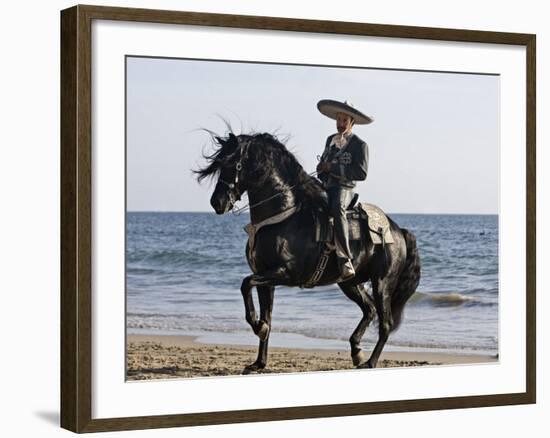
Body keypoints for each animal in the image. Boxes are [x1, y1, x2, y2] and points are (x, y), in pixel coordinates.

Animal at [195, 131, 422, 372]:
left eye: (233, 164)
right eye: (219, 164)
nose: (217, 202)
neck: (283, 217)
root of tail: (398, 231)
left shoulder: (286, 273)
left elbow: (245, 284)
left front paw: (259, 328)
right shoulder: (266, 279)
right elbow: (267, 316)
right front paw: (258, 362)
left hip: (382, 283)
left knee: (385, 323)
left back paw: (370, 362)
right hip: (350, 282)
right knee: (369, 310)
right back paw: (357, 352)